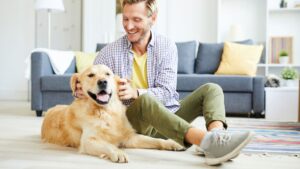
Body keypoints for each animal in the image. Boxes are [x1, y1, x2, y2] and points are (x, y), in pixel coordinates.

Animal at [41, 64, 184, 162]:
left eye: (108, 74)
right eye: (91, 75)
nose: (103, 82)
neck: (106, 111)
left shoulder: (130, 137)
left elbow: (155, 140)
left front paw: (172, 143)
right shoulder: (88, 141)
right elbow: (108, 145)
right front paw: (118, 153)